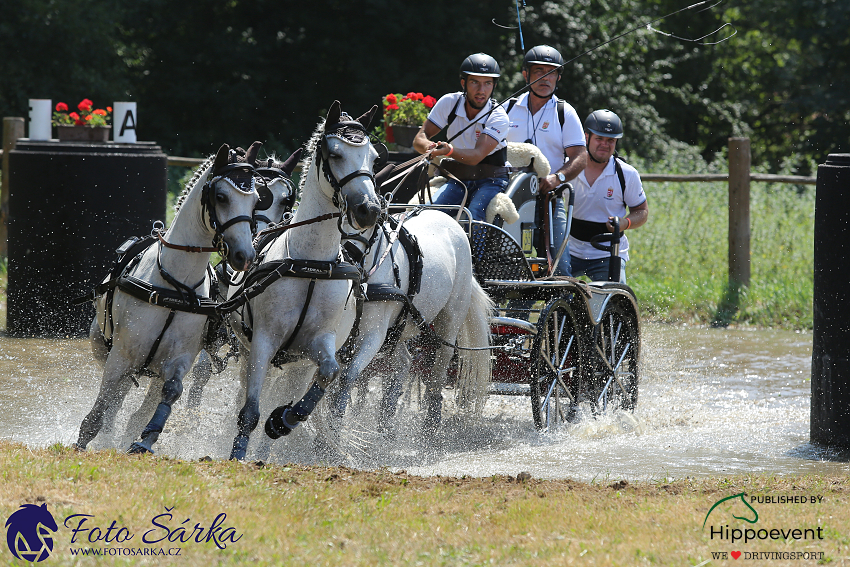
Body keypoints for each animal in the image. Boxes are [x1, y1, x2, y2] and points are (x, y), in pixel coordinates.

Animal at [76, 142, 262, 452]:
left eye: (256, 200)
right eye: (221, 197)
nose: (244, 256)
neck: (175, 286)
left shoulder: (179, 361)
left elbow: (169, 394)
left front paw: (145, 439)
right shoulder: (120, 357)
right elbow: (99, 413)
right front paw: (82, 445)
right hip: (106, 350)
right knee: (113, 403)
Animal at [225, 103, 384, 462]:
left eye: (373, 157)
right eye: (335, 154)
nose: (368, 210)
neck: (310, 263)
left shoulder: (320, 343)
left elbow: (330, 373)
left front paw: (283, 420)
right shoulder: (263, 341)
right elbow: (250, 411)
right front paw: (238, 454)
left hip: (297, 364)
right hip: (251, 351)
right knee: (245, 395)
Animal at [326, 209, 496, 440]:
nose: (345, 259)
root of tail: (453, 222)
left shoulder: (373, 336)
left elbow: (348, 376)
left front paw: (332, 430)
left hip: (449, 322)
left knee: (437, 375)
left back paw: (430, 426)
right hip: (397, 330)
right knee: (404, 362)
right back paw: (386, 422)